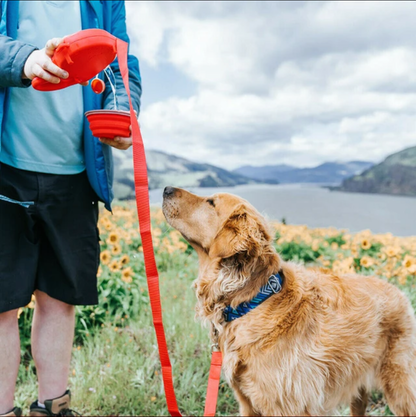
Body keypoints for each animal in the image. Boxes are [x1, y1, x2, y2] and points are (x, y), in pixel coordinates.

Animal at [162, 187, 416, 414]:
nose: (165, 189)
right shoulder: (247, 403)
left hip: (400, 387)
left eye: (211, 202)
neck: (252, 301)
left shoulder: (287, 405)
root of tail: (400, 292)